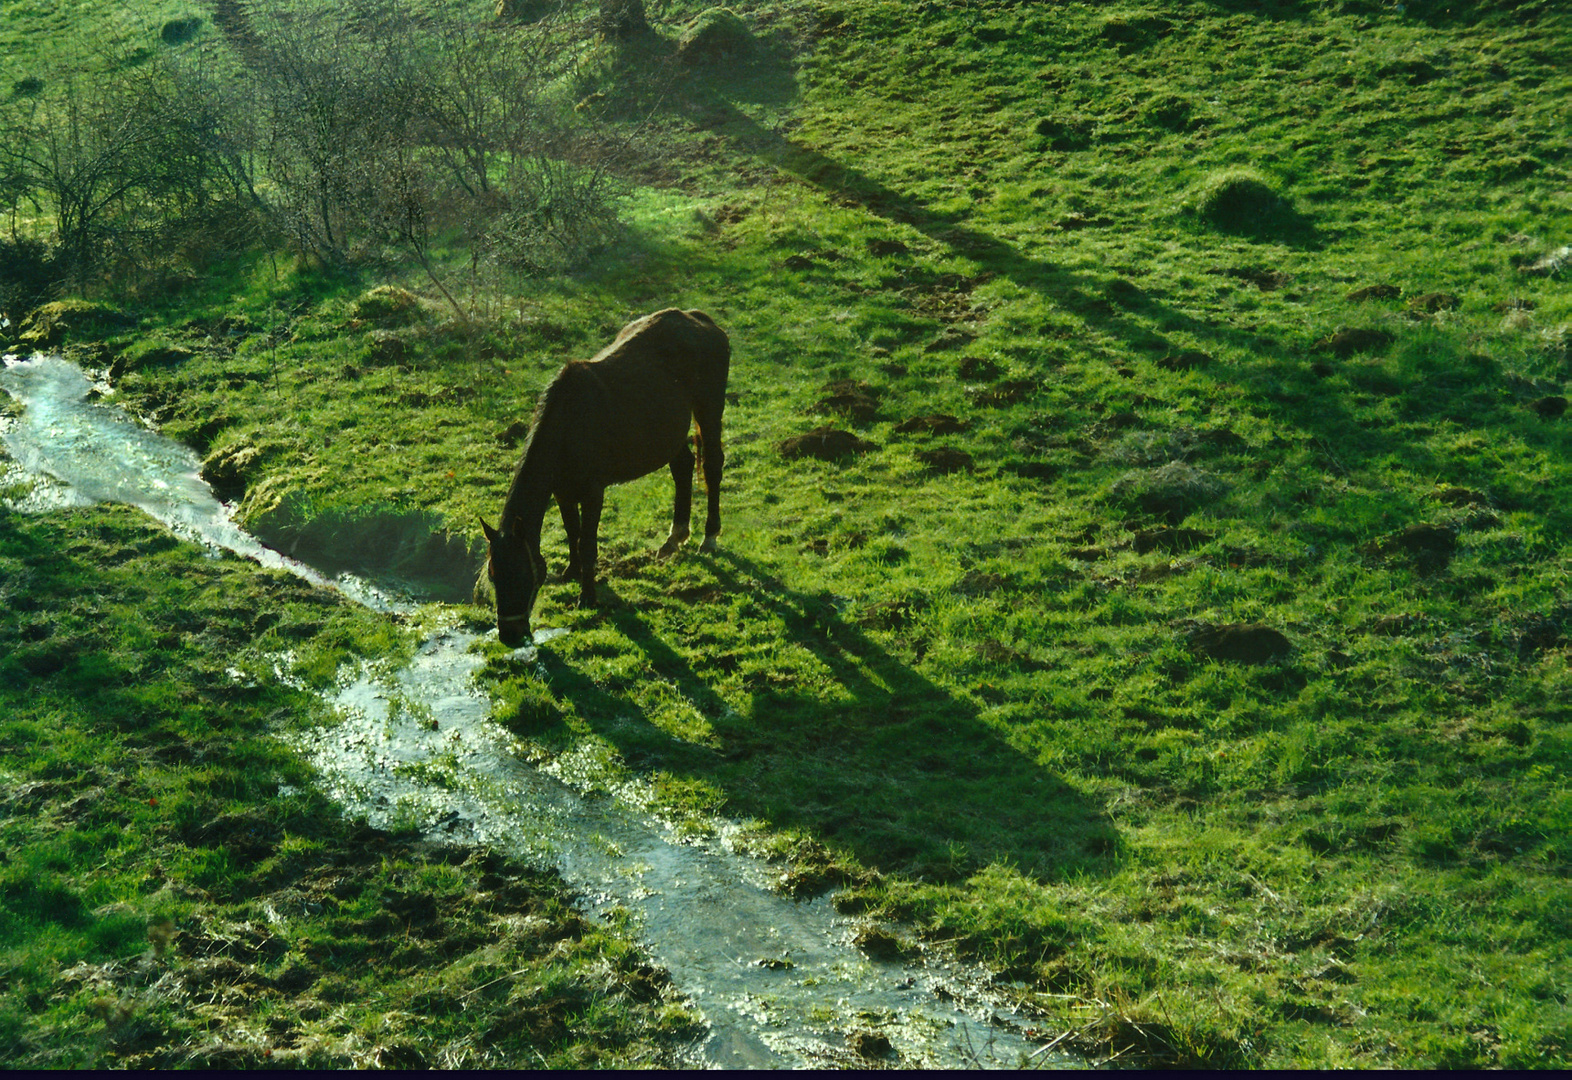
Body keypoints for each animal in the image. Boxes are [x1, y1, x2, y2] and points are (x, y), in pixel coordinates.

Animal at [477, 308, 729, 647]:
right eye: (493, 574)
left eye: (520, 574)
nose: (510, 635)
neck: (567, 426)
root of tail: (700, 319)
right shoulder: (562, 491)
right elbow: (572, 532)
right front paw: (571, 571)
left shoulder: (593, 492)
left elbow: (587, 542)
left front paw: (588, 595)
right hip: (668, 432)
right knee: (683, 467)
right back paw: (674, 537)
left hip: (709, 409)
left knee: (712, 467)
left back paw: (709, 535)